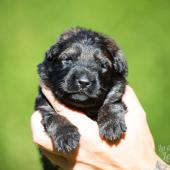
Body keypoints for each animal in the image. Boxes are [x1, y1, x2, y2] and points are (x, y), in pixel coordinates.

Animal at [34, 27, 127, 169]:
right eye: (68, 59)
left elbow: (112, 102)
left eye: (103, 65)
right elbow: (54, 116)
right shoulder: (44, 103)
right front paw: (66, 134)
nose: (83, 82)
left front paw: (112, 123)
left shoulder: (117, 91)